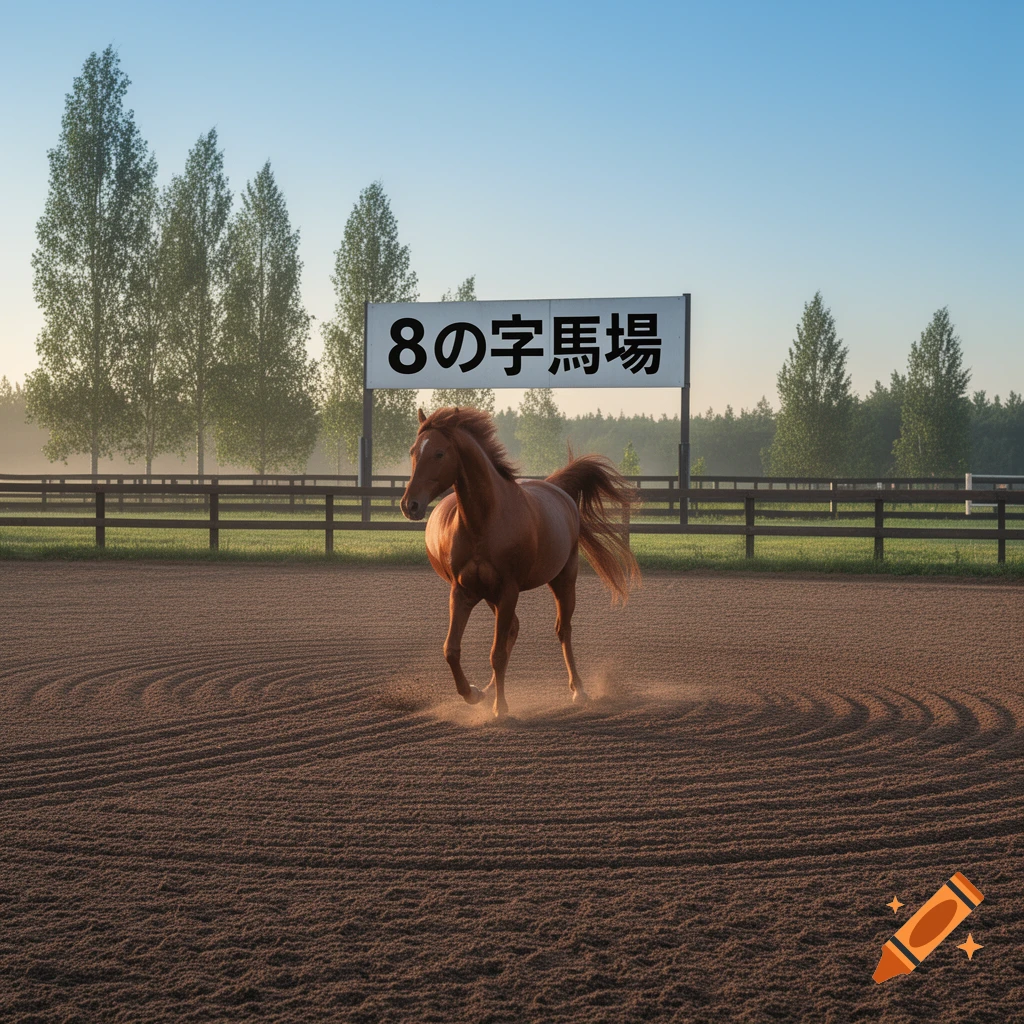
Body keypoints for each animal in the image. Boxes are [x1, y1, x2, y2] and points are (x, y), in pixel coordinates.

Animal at [400, 406, 640, 717]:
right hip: (491, 596)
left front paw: (501, 708)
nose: (410, 505)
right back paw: (488, 689)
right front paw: (473, 694)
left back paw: (579, 690)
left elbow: (497, 653)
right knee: (513, 627)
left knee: (563, 630)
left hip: (563, 580)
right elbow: (451, 649)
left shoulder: (509, 590)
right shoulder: (462, 592)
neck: (485, 522)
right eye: (413, 451)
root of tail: (555, 487)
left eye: (439, 453)